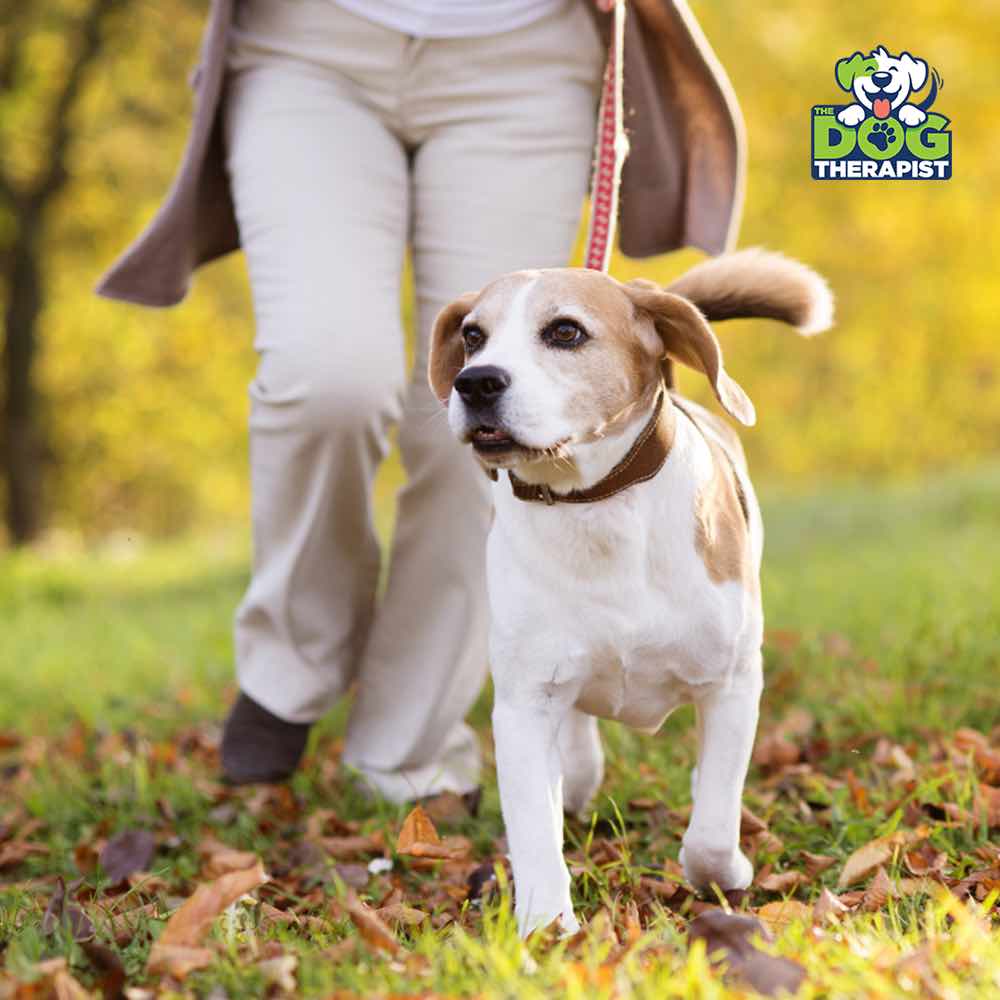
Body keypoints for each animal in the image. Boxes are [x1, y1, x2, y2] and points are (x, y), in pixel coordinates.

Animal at [426, 250, 832, 936]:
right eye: (473, 335)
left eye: (565, 332)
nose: (475, 382)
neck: (597, 507)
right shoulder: (523, 706)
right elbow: (533, 827)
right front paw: (546, 927)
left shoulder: (732, 684)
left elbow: (712, 829)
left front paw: (725, 874)